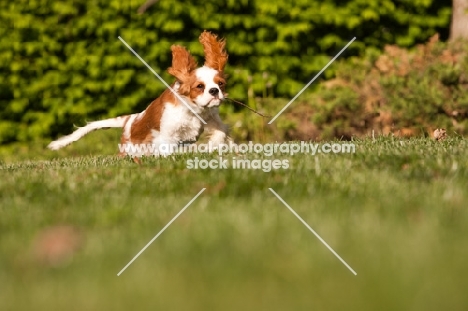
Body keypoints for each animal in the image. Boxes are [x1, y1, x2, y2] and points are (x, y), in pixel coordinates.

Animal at [48, 30, 230, 157]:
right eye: (200, 86)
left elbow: (220, 132)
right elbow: (167, 148)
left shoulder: (211, 118)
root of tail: (130, 119)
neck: (194, 110)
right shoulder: (167, 134)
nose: (214, 91)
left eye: (220, 84)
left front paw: (212, 147)